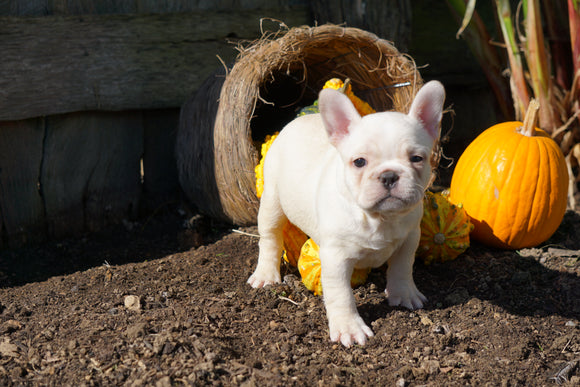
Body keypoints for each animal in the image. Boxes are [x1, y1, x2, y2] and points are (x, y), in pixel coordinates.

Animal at [248, 80, 444, 348]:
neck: (379, 219)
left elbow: (403, 267)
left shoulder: (409, 238)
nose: (389, 175)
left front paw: (403, 293)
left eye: (416, 158)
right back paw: (266, 274)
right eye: (359, 162)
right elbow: (341, 294)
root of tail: (296, 122)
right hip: (272, 201)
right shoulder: (336, 258)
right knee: (270, 238)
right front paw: (349, 327)